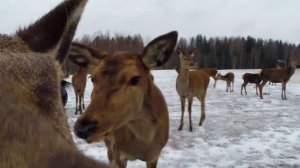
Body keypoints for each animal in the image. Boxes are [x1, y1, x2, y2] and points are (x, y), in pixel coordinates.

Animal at [74, 30, 178, 167]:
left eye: (135, 79)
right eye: (92, 78)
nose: (83, 128)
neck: (144, 144)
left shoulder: (154, 155)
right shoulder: (119, 151)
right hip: (108, 141)